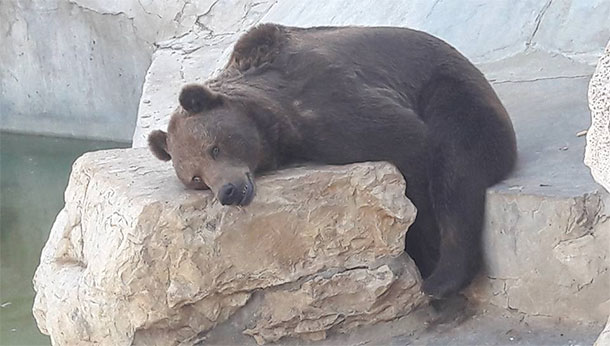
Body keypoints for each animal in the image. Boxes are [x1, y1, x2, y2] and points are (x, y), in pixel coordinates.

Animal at [147, 23, 512, 298]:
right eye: (196, 178)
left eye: (214, 149)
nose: (229, 191)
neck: (272, 120)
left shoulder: (326, 100)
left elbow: (408, 141)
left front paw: (425, 250)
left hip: (450, 90)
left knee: (456, 166)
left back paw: (441, 280)